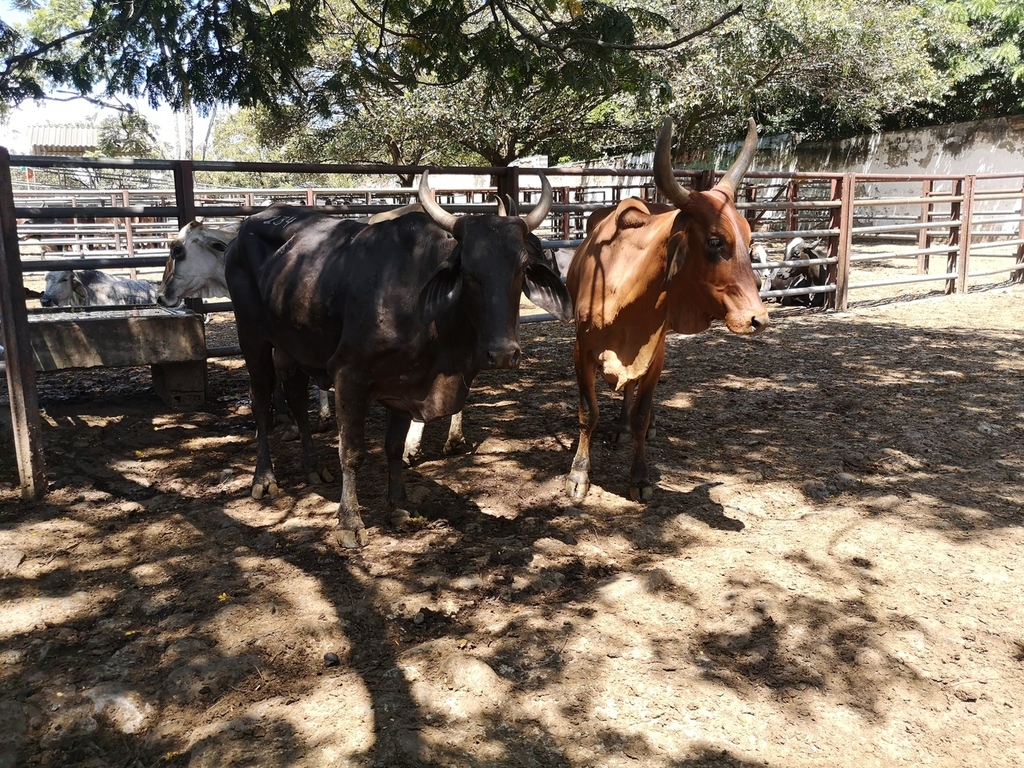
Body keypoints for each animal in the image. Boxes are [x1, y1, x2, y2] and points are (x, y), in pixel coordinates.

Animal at [225, 172, 572, 547]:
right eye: (467, 270)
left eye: (522, 267)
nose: (504, 353)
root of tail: (247, 226)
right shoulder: (348, 375)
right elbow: (352, 452)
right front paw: (349, 522)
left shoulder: (405, 385)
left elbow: (393, 447)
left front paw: (400, 507)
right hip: (252, 337)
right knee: (261, 402)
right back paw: (264, 479)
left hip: (293, 346)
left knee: (297, 401)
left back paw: (313, 468)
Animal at [565, 117, 769, 503]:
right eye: (715, 241)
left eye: (750, 241)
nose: (757, 319)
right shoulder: (582, 348)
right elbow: (588, 411)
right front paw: (579, 474)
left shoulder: (654, 349)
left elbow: (642, 415)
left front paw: (640, 476)